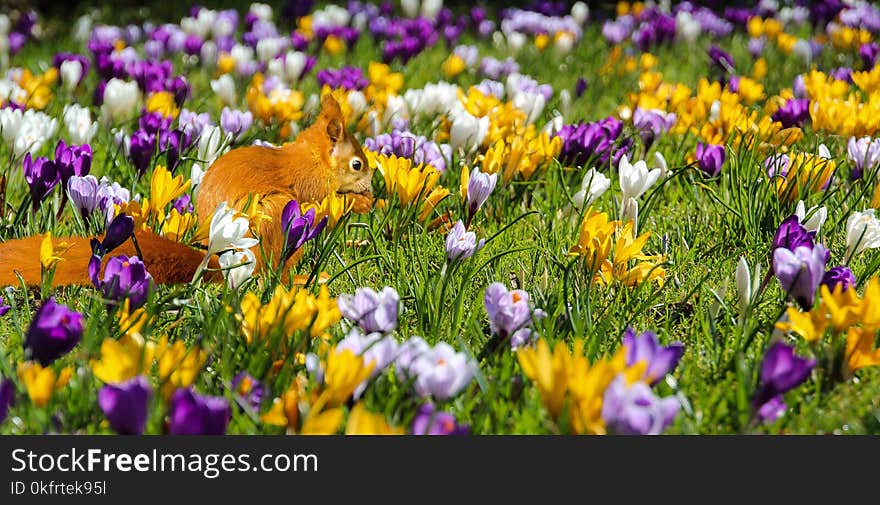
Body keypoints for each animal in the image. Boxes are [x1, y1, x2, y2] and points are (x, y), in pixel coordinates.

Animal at [0, 95, 374, 288]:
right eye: (357, 164)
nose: (371, 186)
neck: (312, 157)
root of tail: (220, 260)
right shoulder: (309, 181)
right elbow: (323, 197)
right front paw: (359, 201)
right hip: (275, 219)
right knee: (270, 275)